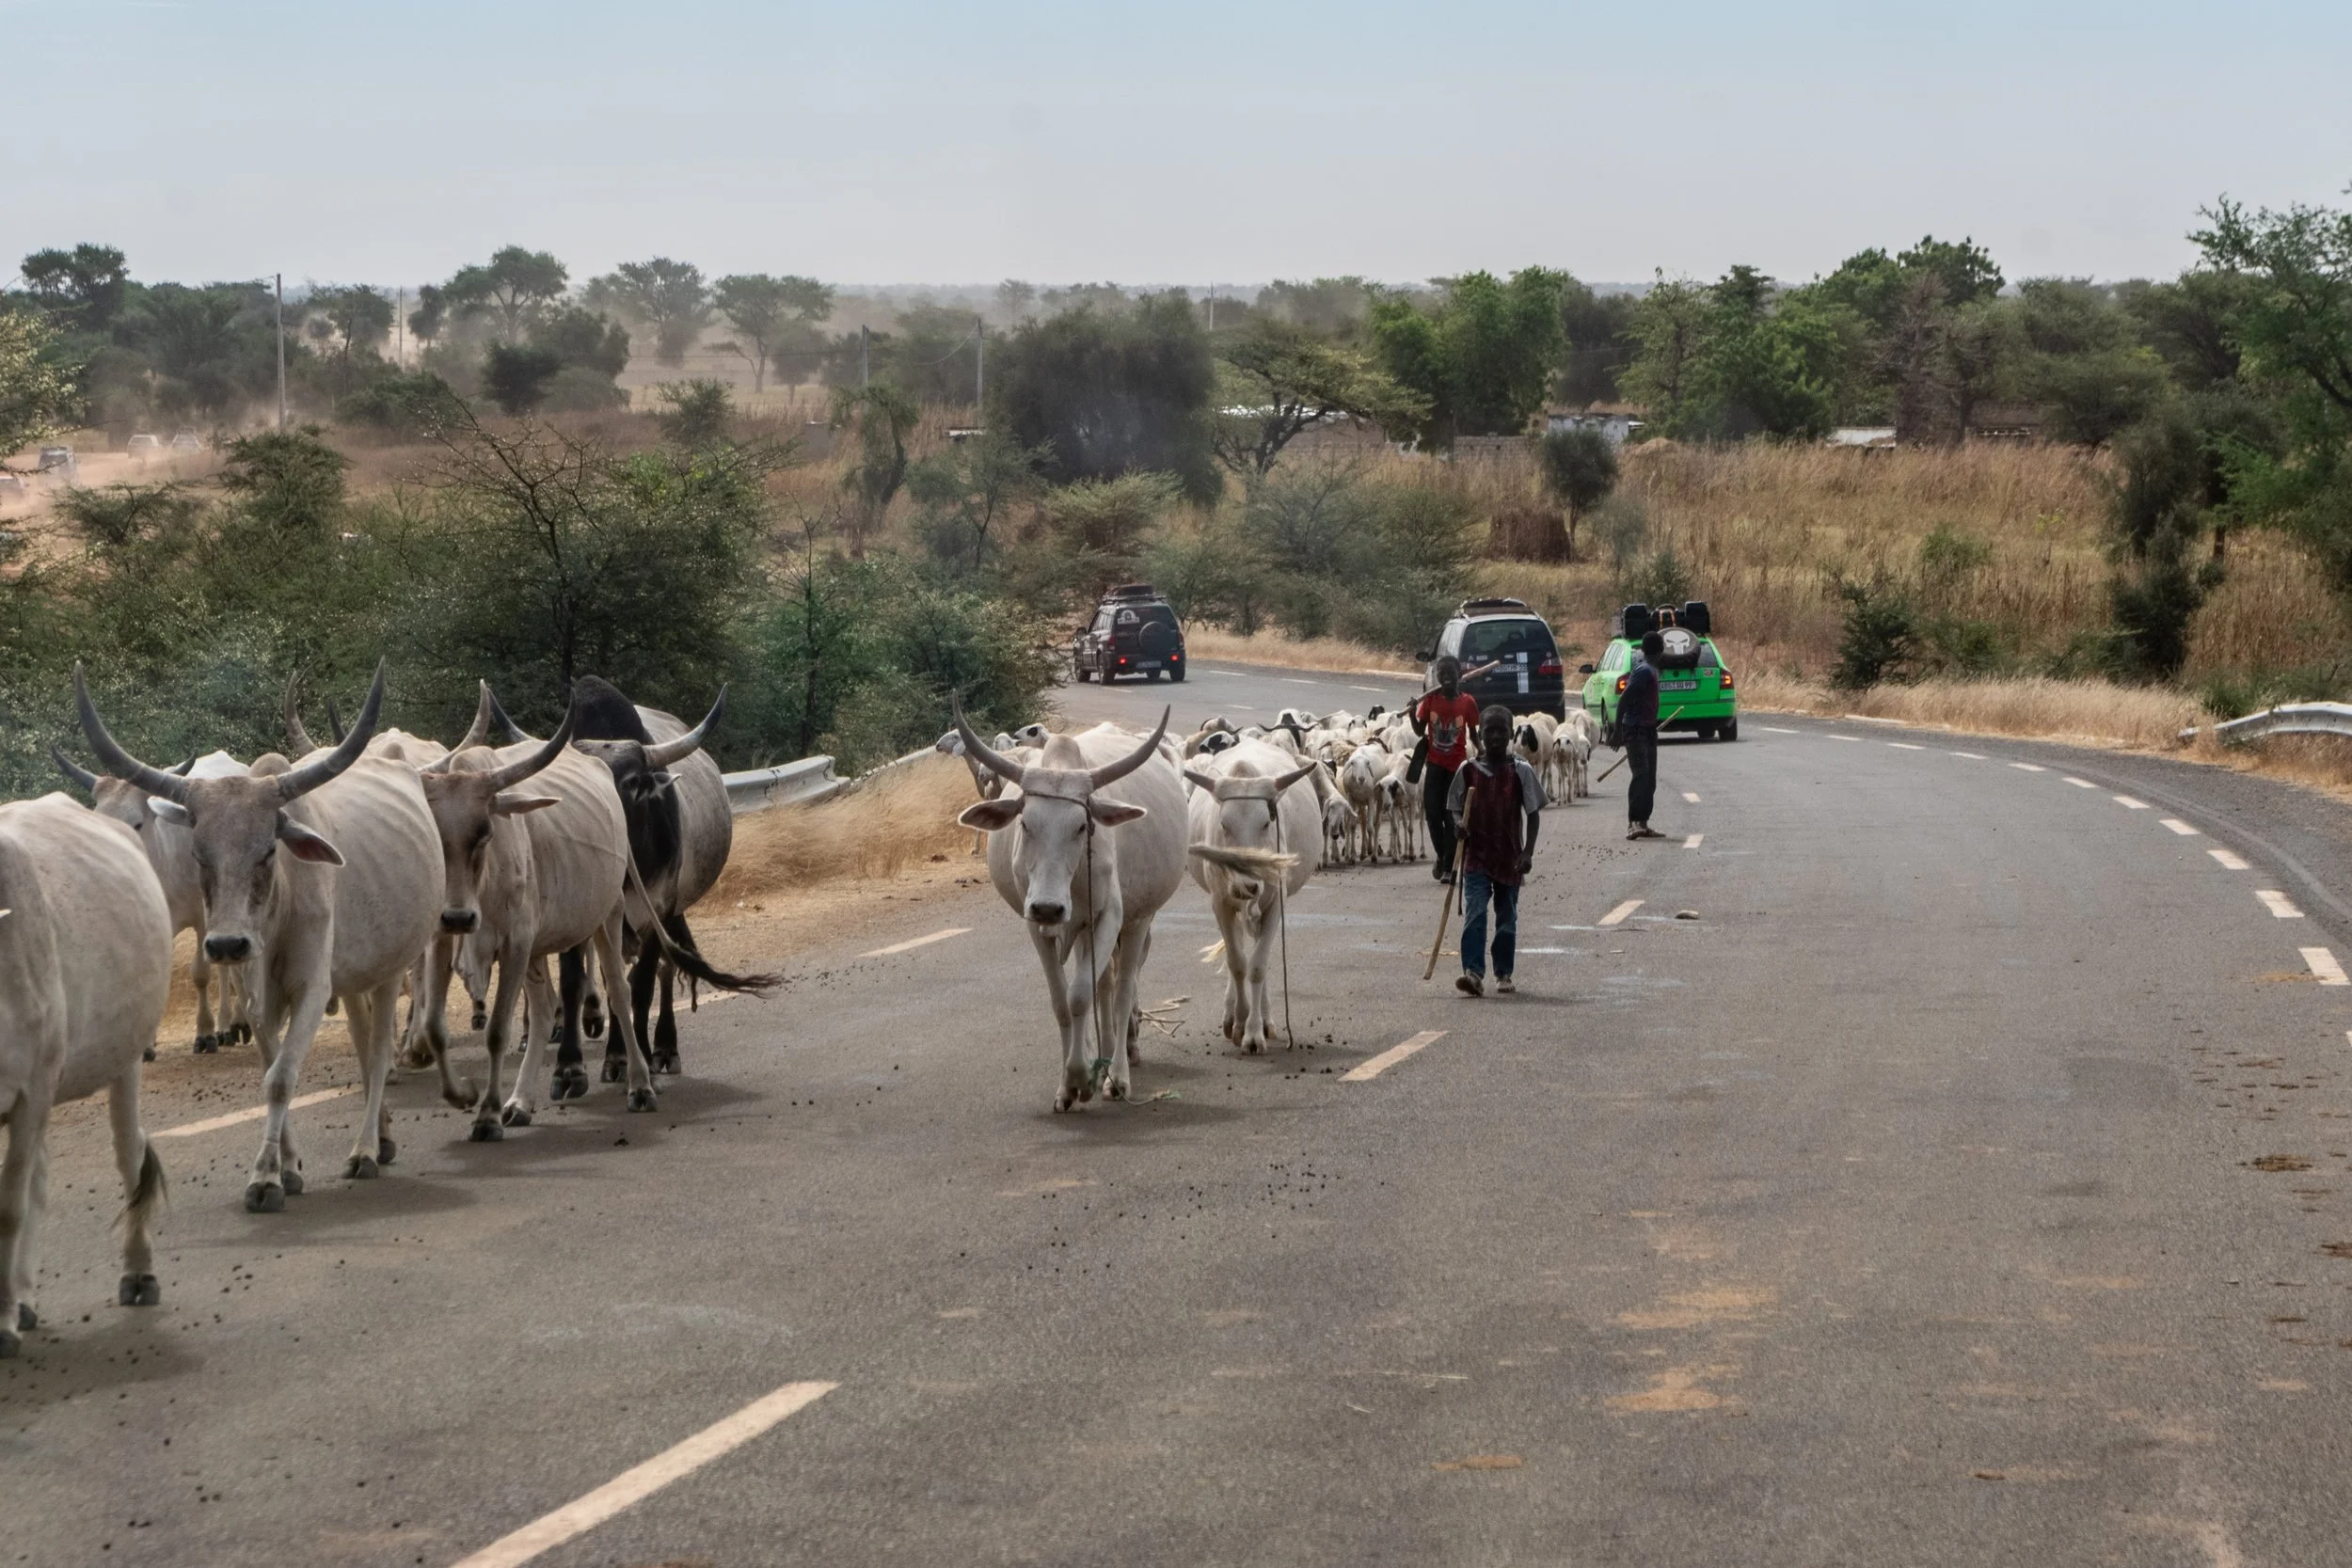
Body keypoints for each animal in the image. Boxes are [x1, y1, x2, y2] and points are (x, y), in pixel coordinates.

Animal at [0, 794, 175, 1355]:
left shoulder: (31, 1091)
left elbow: (9, 1209)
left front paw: (1, 1325)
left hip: (126, 1060)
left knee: (129, 1151)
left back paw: (138, 1273)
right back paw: (26, 1297)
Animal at [50, 746, 254, 1057]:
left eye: (137, 822)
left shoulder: (202, 918)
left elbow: (201, 973)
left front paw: (205, 1033)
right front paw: (145, 1044)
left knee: (228, 969)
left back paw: (231, 1025)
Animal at [75, 662, 443, 1210]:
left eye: (269, 849)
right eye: (199, 852)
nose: (228, 945)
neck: (279, 910)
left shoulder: (312, 987)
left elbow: (281, 1079)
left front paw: (266, 1178)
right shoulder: (259, 995)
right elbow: (271, 1066)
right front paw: (284, 1167)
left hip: (390, 967)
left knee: (377, 1055)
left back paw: (365, 1150)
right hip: (354, 975)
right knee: (361, 1045)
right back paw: (382, 1137)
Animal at [954, 704, 1185, 1111]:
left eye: (1081, 826)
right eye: (1025, 823)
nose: (1049, 907)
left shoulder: (1109, 917)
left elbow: (1081, 996)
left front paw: (1086, 1079)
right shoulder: (1038, 926)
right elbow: (1064, 1001)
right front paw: (1068, 1084)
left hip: (1138, 918)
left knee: (1122, 988)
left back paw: (1117, 1069)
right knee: (1104, 984)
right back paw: (1102, 1055)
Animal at [1184, 741, 1319, 1054]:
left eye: (1266, 823)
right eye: (1224, 824)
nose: (1247, 886)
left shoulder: (1275, 905)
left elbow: (1257, 966)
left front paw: (1254, 1033)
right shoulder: (1221, 903)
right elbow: (1237, 964)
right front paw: (1239, 1021)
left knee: (1258, 954)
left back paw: (1266, 1020)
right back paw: (1231, 1015)